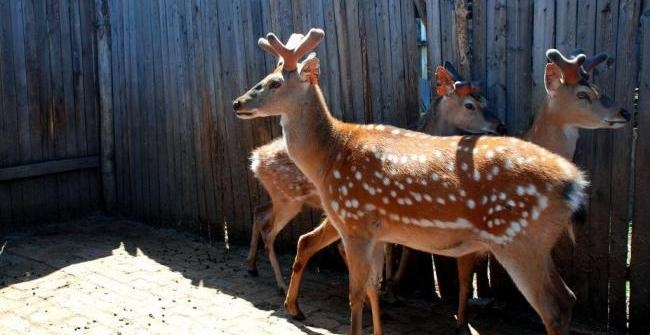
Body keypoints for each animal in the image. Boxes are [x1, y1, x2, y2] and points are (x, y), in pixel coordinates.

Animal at [234, 28, 588, 335]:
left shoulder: (354, 223)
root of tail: (576, 185)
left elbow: (356, 294)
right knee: (569, 298)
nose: (238, 102)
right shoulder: (376, 231)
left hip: (519, 241)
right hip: (536, 244)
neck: (329, 157)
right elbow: (373, 286)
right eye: (262, 79)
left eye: (274, 83)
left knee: (555, 306)